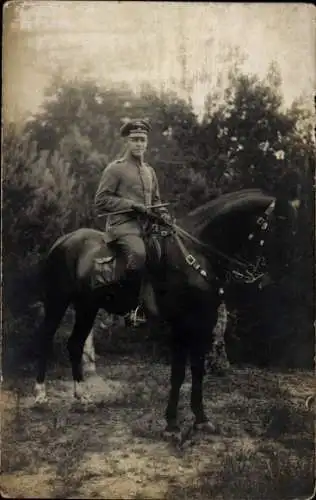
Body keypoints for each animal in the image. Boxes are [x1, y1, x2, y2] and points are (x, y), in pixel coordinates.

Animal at [35, 188, 298, 434]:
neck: (195, 253)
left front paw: (201, 419)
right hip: (57, 302)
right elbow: (179, 373)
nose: (276, 276)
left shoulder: (204, 321)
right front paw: (172, 423)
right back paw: (40, 395)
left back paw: (82, 397)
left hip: (87, 307)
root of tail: (63, 240)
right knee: (45, 339)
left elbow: (197, 370)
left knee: (75, 344)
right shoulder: (180, 324)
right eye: (278, 226)